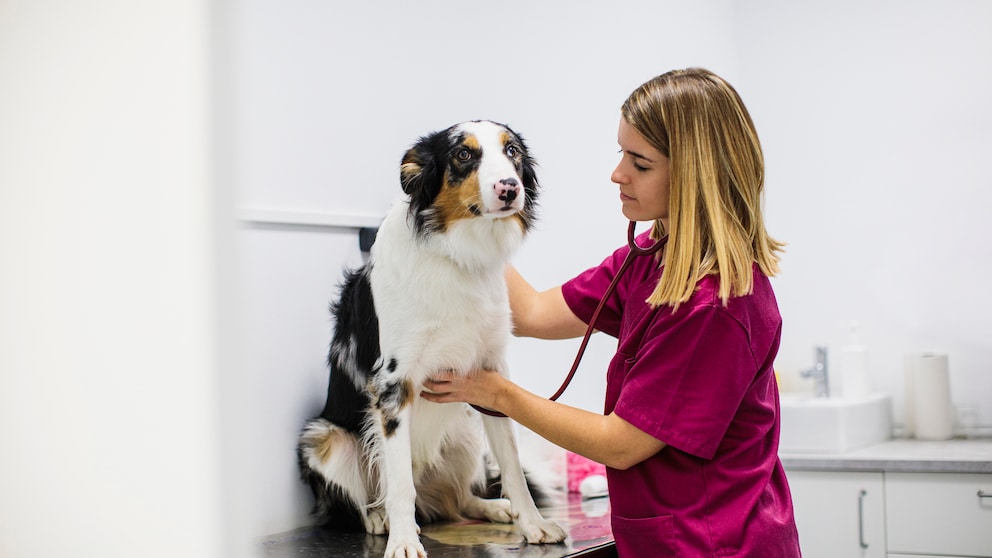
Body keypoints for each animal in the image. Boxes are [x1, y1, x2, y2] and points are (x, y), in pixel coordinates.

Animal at [296, 122, 564, 558]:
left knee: (458, 500)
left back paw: (493, 507)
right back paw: (379, 519)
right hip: (323, 441)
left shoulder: (492, 377)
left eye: (512, 151)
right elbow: (399, 484)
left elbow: (512, 468)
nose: (510, 188)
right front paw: (404, 541)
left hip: (466, 429)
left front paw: (533, 525)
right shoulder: (393, 384)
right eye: (463, 155)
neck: (456, 254)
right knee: (374, 497)